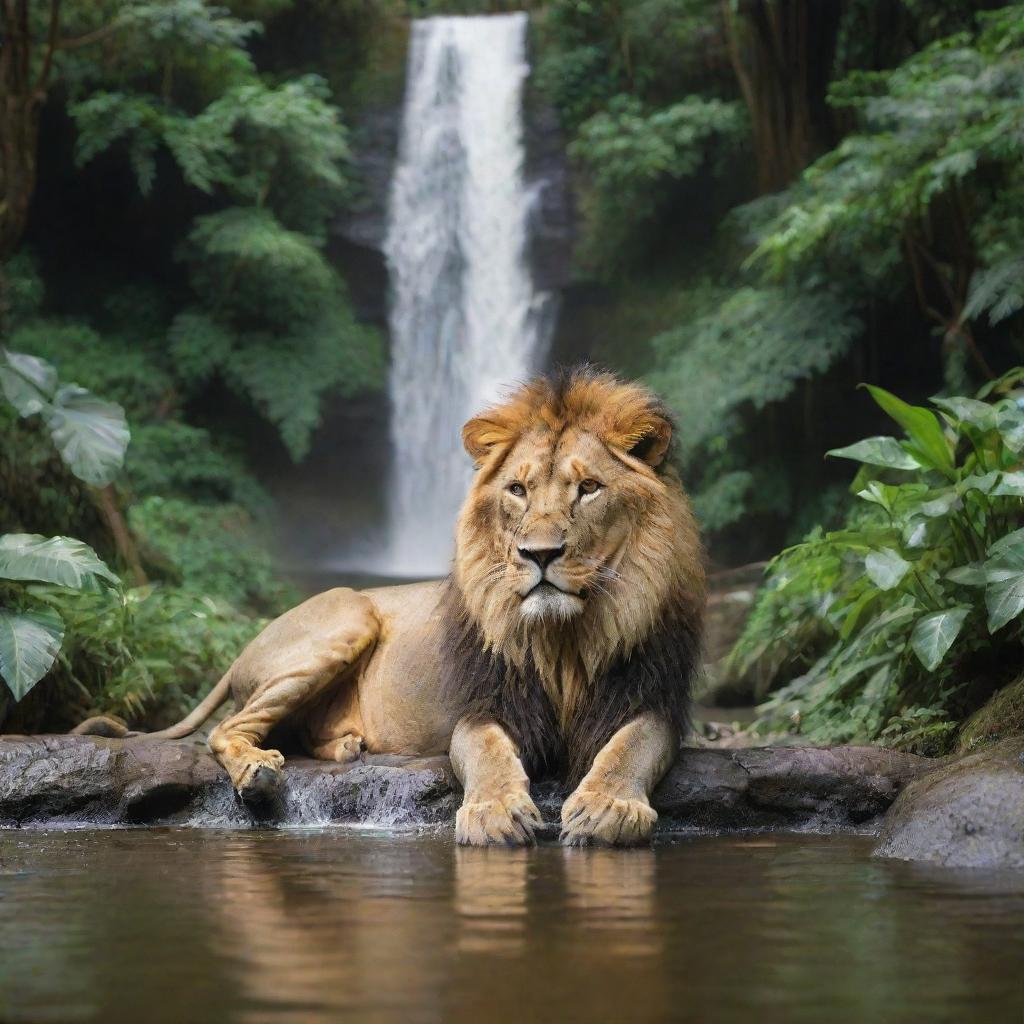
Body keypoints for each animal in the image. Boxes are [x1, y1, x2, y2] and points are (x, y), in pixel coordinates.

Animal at [77, 368, 704, 847]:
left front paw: (607, 808)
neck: (565, 639)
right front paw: (494, 813)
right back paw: (258, 772)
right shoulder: (481, 707)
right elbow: (488, 754)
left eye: (589, 488)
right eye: (518, 491)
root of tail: (241, 651)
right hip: (348, 615)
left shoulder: (652, 699)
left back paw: (344, 746)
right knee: (226, 729)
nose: (540, 554)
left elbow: (628, 750)